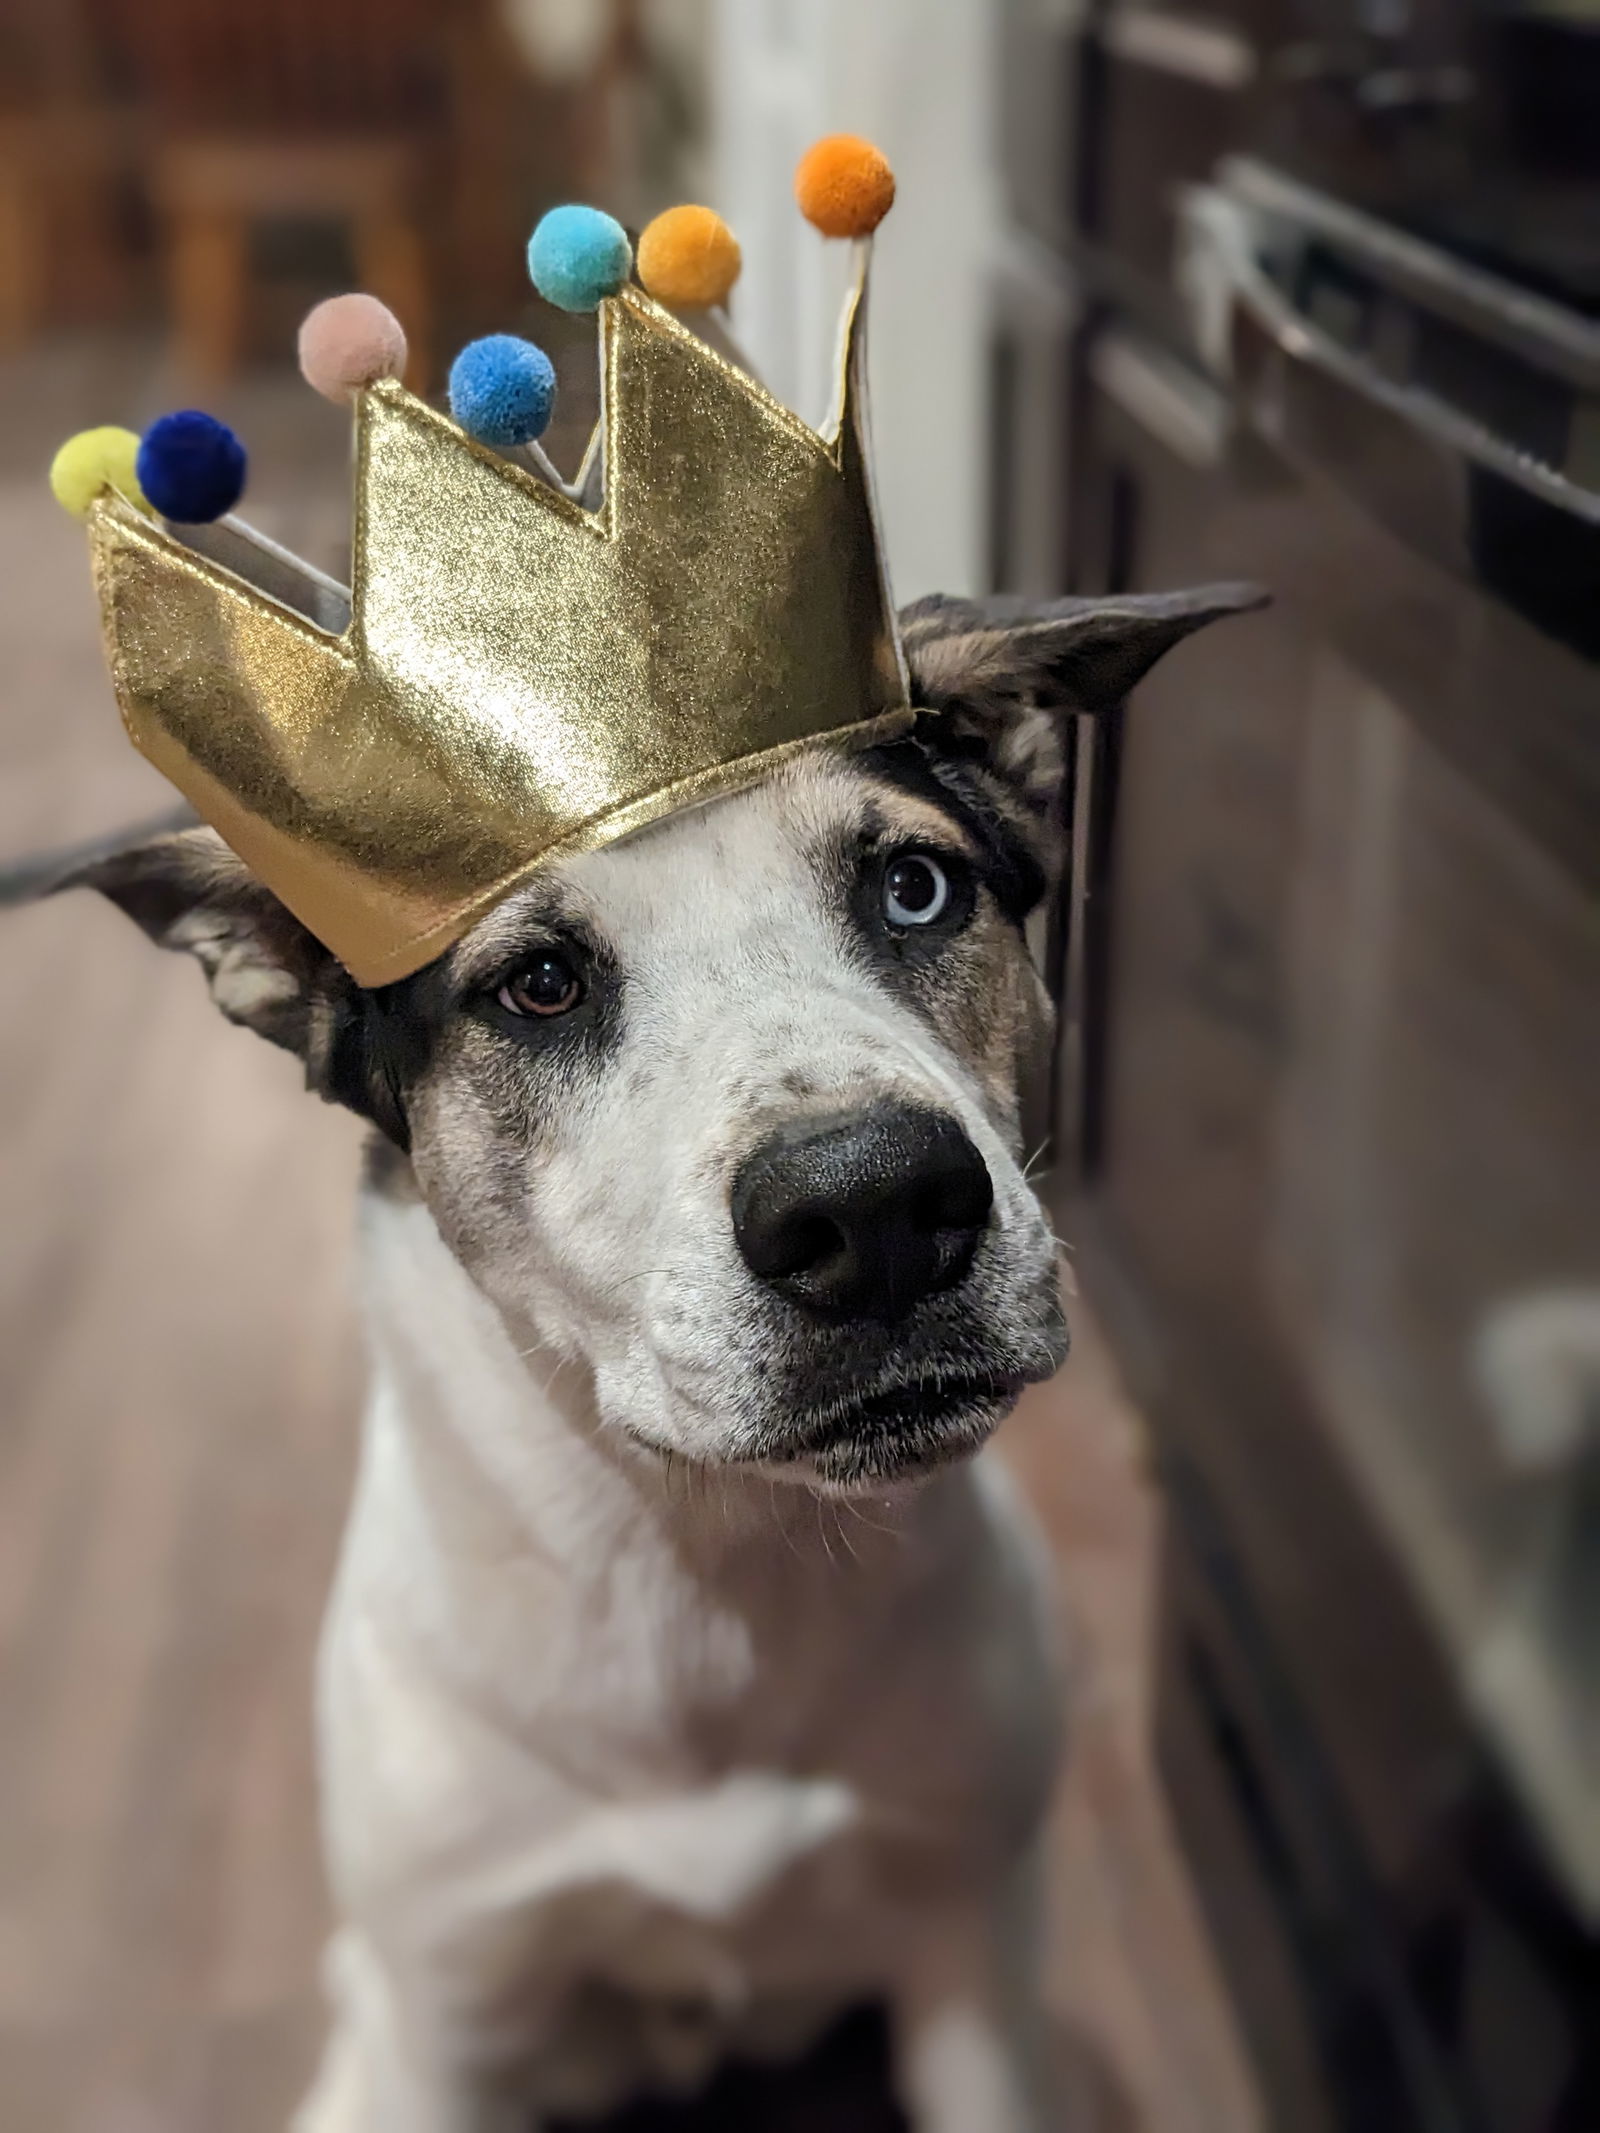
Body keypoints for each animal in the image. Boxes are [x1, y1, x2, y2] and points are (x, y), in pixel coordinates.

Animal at [43, 584, 1262, 2133]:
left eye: (913, 889)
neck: (699, 1558)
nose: (875, 1210)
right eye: (540, 985)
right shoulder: (457, 2010)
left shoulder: (972, 1954)